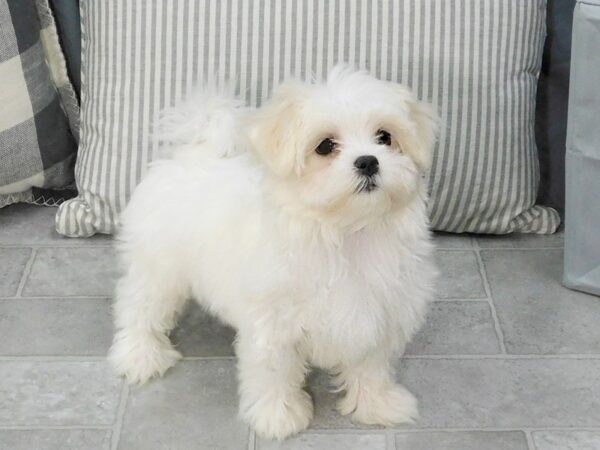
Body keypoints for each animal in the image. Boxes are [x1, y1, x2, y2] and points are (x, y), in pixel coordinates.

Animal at [109, 66, 436, 440]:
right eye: (325, 146)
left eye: (385, 137)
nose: (368, 161)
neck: (346, 232)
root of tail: (191, 153)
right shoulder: (274, 321)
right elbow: (274, 371)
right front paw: (277, 416)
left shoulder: (378, 312)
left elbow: (371, 365)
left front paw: (378, 404)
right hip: (158, 267)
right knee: (139, 307)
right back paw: (139, 356)